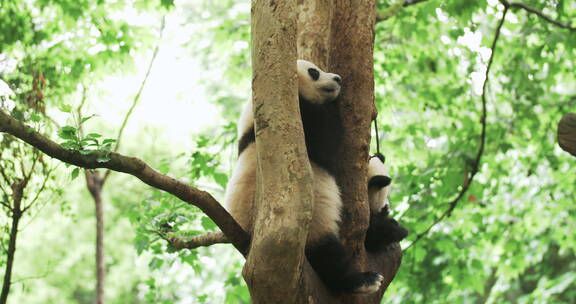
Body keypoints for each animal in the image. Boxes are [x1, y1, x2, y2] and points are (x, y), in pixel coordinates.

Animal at [225, 60, 382, 294]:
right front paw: (334, 106)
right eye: (314, 72)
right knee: (327, 255)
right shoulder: (296, 124)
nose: (338, 79)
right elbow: (326, 141)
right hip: (313, 228)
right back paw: (361, 281)